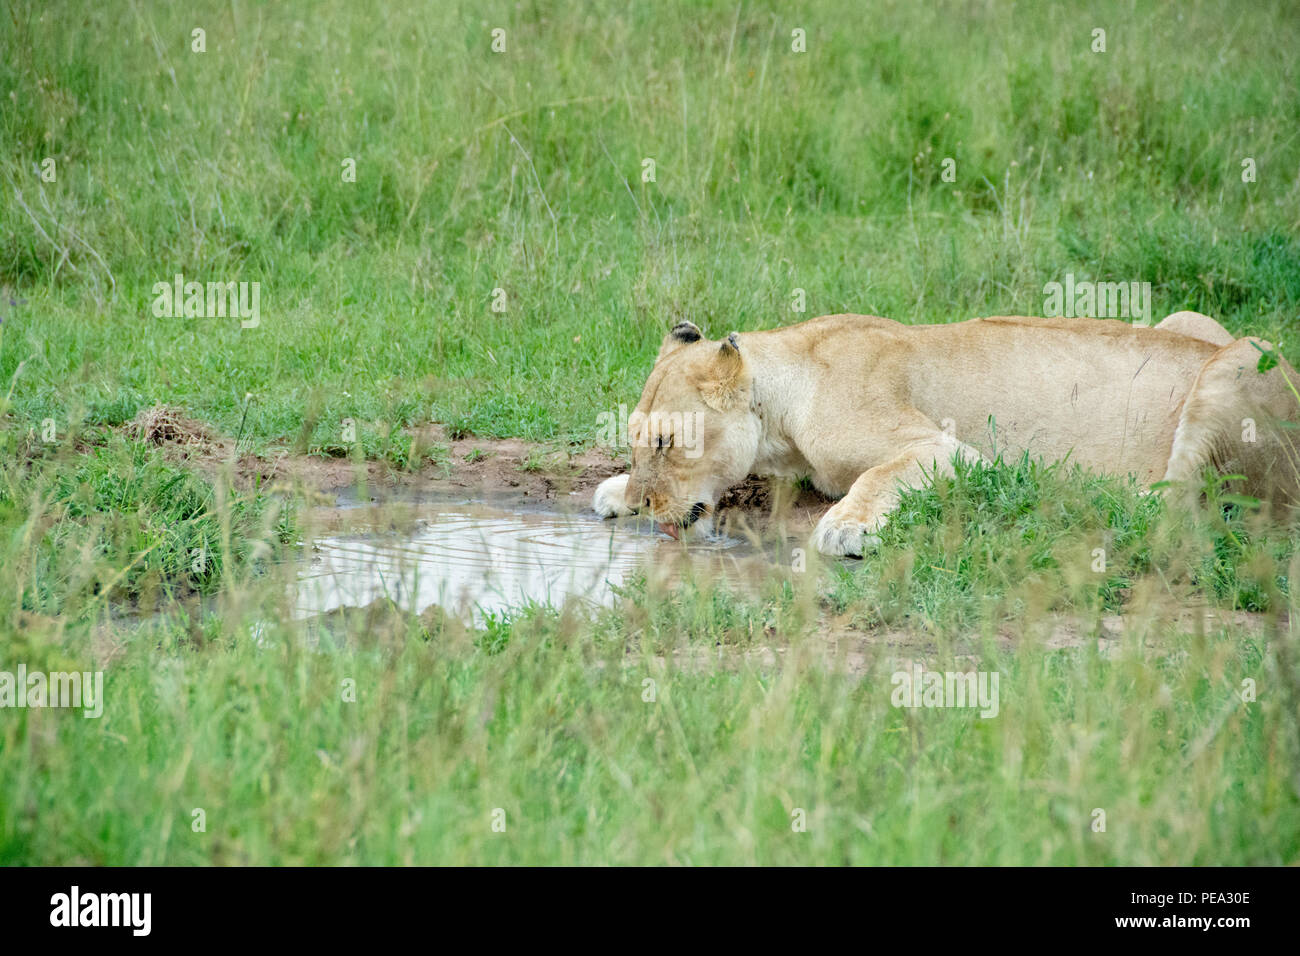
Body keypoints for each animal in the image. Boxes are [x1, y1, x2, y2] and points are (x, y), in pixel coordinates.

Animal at [592, 312, 1300, 556]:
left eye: (667, 442)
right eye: (637, 441)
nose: (650, 505)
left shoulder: (946, 448)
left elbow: (881, 474)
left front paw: (847, 529)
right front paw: (618, 490)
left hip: (1242, 359)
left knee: (1178, 509)